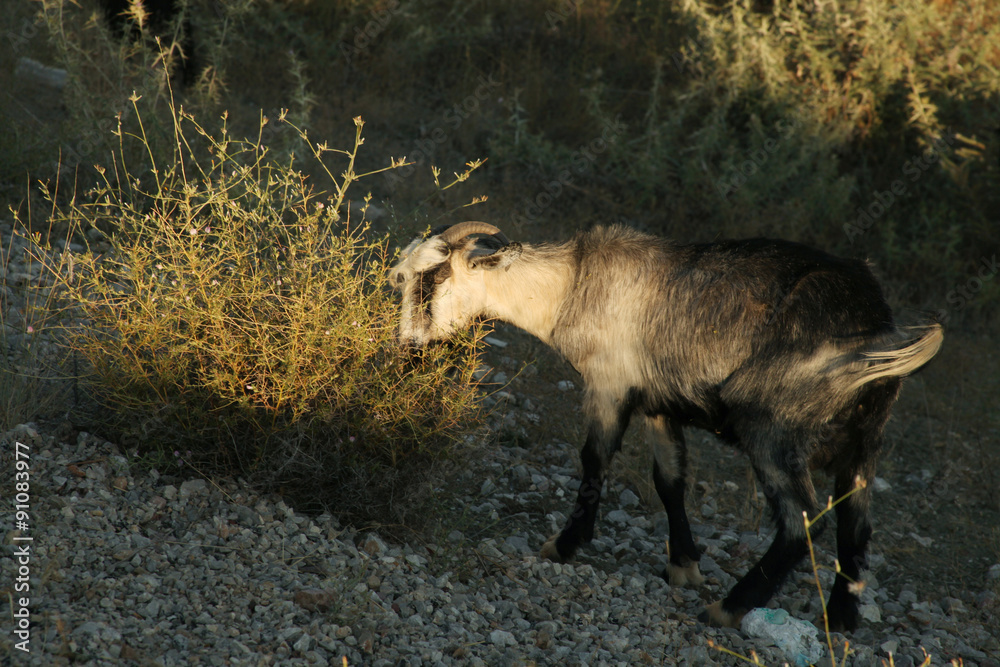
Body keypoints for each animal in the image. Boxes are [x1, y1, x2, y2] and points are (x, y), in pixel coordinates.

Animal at [389, 221, 943, 631]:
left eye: (433, 277)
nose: (408, 348)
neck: (569, 286)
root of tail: (876, 333)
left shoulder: (609, 384)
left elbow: (594, 461)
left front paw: (563, 545)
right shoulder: (658, 404)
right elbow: (669, 479)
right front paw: (684, 564)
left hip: (772, 430)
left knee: (801, 519)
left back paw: (728, 608)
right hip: (864, 441)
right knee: (855, 521)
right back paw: (840, 617)